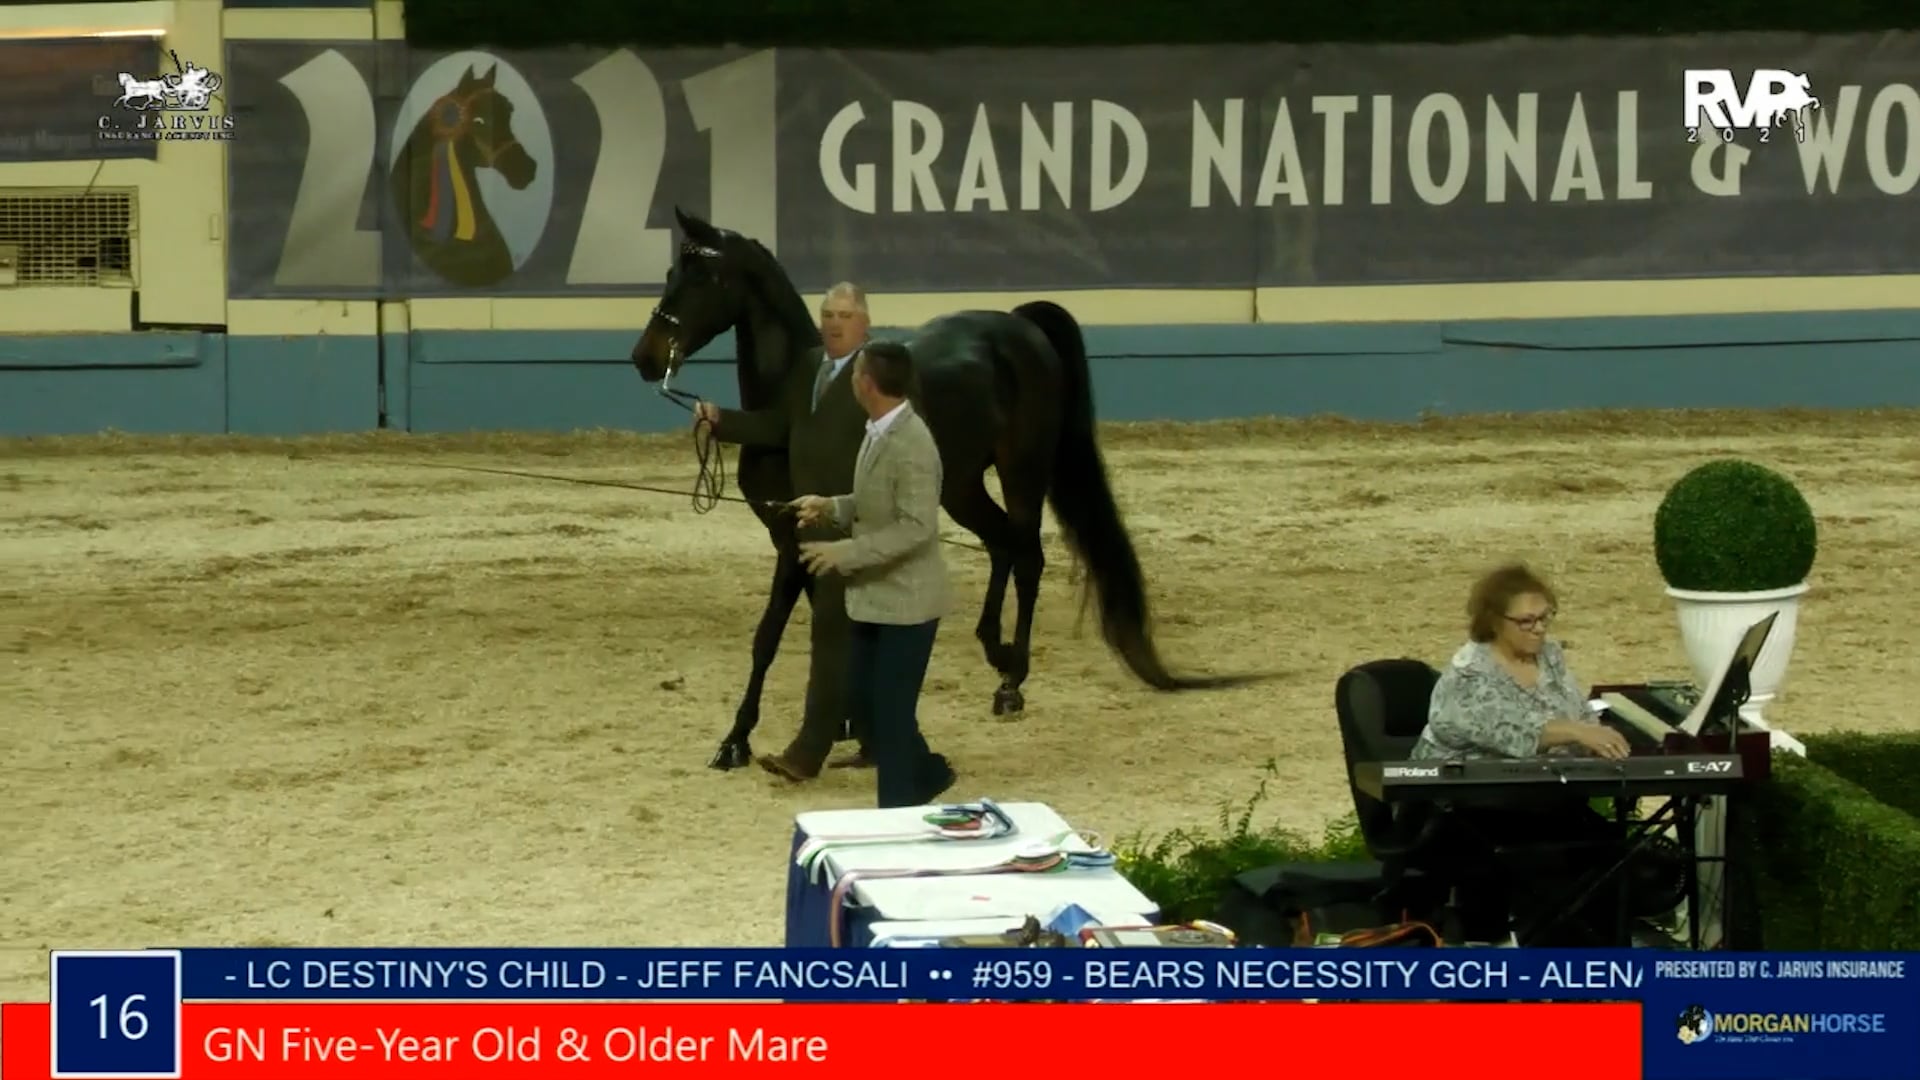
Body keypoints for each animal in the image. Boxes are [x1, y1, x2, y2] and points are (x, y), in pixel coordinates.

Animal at [631, 208, 1268, 770]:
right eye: (670, 271)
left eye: (701, 276)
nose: (645, 358)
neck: (787, 408)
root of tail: (1020, 325)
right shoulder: (796, 540)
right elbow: (814, 628)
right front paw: (792, 733)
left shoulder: (802, 538)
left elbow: (779, 633)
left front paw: (760, 738)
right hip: (961, 487)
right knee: (1001, 544)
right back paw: (995, 647)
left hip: (1021, 470)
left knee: (1027, 554)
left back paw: (1012, 682)